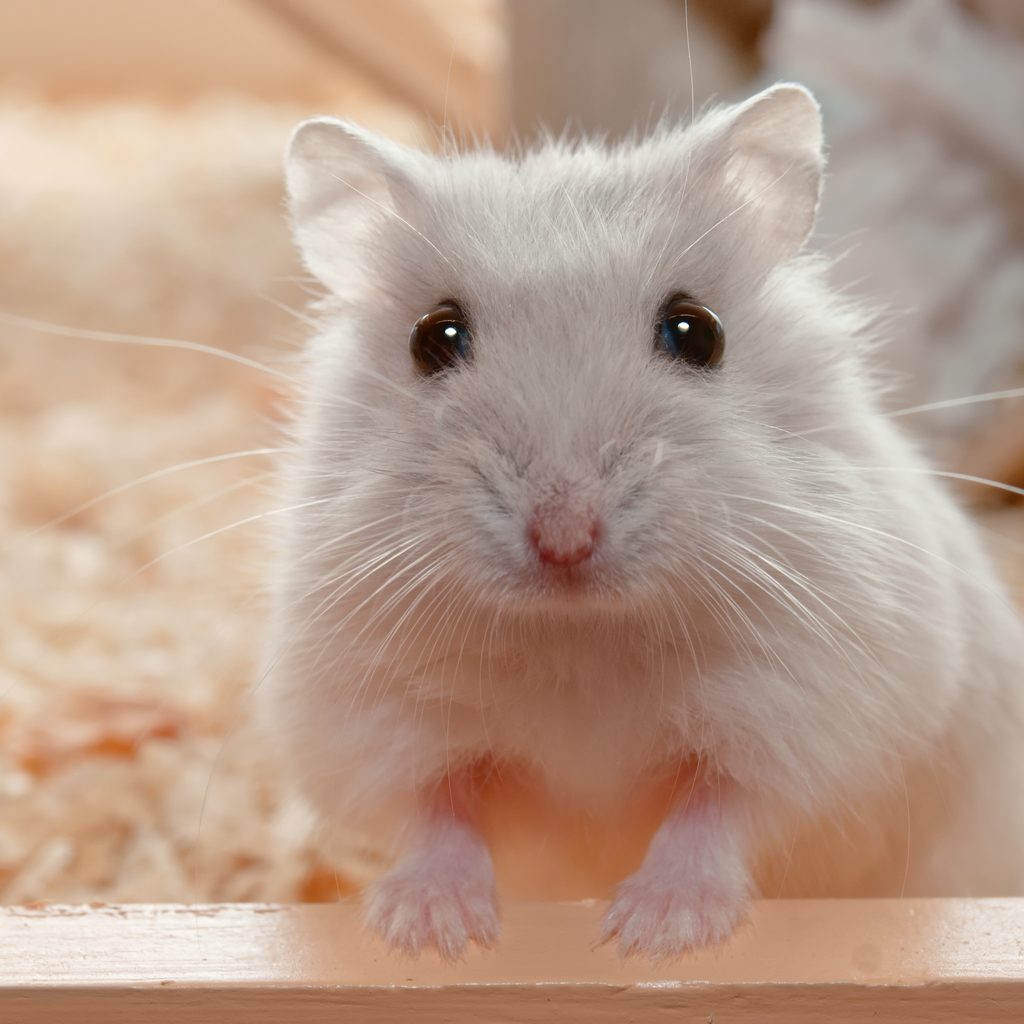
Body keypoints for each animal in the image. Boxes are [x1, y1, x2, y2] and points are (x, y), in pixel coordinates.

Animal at [263, 83, 1024, 960]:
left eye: (696, 331)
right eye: (434, 337)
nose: (565, 538)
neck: (580, 638)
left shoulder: (811, 715)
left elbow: (718, 810)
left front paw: (651, 935)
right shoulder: (374, 721)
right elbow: (437, 811)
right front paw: (433, 933)